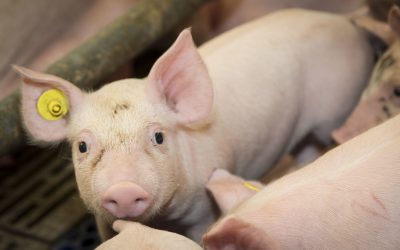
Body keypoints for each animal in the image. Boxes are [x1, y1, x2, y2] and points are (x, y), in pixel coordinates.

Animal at [18, 8, 376, 241]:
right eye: (82, 146)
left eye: (159, 137)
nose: (123, 189)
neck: (162, 221)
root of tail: (345, 21)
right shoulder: (101, 219)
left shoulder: (203, 210)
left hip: (338, 108)